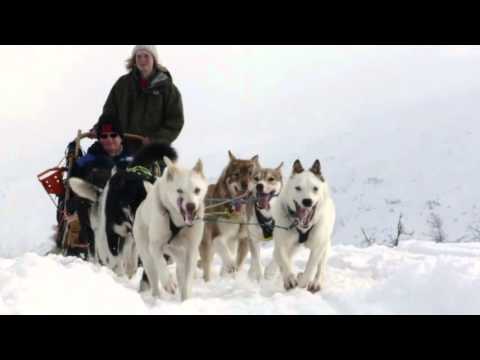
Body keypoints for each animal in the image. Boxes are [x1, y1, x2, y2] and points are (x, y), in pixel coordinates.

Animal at [132, 158, 207, 300]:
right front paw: (168, 283)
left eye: (197, 190)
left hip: (179, 256)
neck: (178, 223)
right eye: (179, 190)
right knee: (154, 278)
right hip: (148, 257)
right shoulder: (155, 246)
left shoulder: (191, 251)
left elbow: (187, 281)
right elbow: (161, 264)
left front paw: (186, 300)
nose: (190, 206)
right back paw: (156, 298)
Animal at [198, 150, 258, 282]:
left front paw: (231, 274)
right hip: (205, 243)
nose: (245, 184)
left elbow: (237, 260)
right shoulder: (216, 235)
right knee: (206, 266)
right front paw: (231, 265)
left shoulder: (241, 237)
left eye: (251, 174)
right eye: (237, 174)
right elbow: (226, 253)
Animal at [270, 160, 334, 292]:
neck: (302, 228)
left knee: (320, 267)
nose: (307, 201)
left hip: (325, 245)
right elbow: (284, 260)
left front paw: (302, 280)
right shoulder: (281, 243)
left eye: (315, 188)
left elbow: (310, 268)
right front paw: (290, 279)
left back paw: (315, 283)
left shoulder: (318, 246)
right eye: (298, 188)